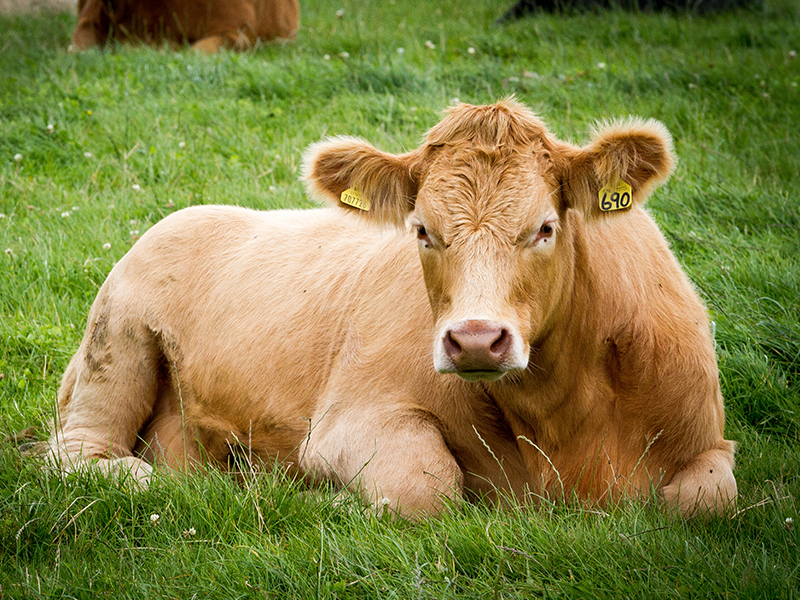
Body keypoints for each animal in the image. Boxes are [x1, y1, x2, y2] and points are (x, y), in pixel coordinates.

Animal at [39, 101, 736, 516]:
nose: (475, 339)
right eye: (422, 230)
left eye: (545, 228)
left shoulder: (708, 440)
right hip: (115, 343)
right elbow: (425, 487)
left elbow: (706, 499)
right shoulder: (349, 421)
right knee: (88, 457)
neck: (564, 418)